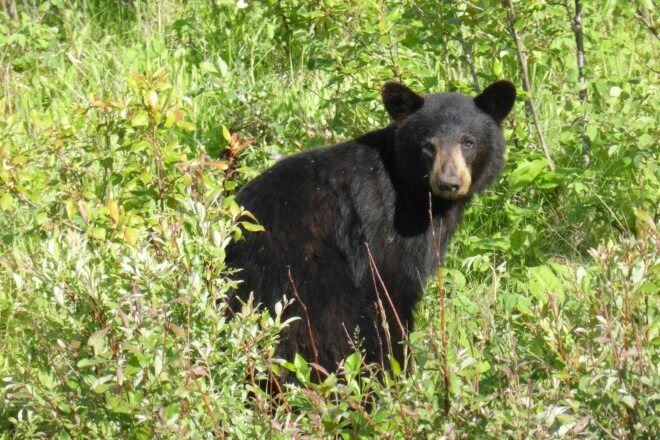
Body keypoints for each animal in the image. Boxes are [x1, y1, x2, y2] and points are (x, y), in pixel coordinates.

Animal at [226, 80, 516, 376]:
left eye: (468, 142)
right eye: (428, 145)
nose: (449, 183)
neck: (413, 191)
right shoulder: (385, 228)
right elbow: (391, 292)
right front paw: (400, 369)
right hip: (305, 280)